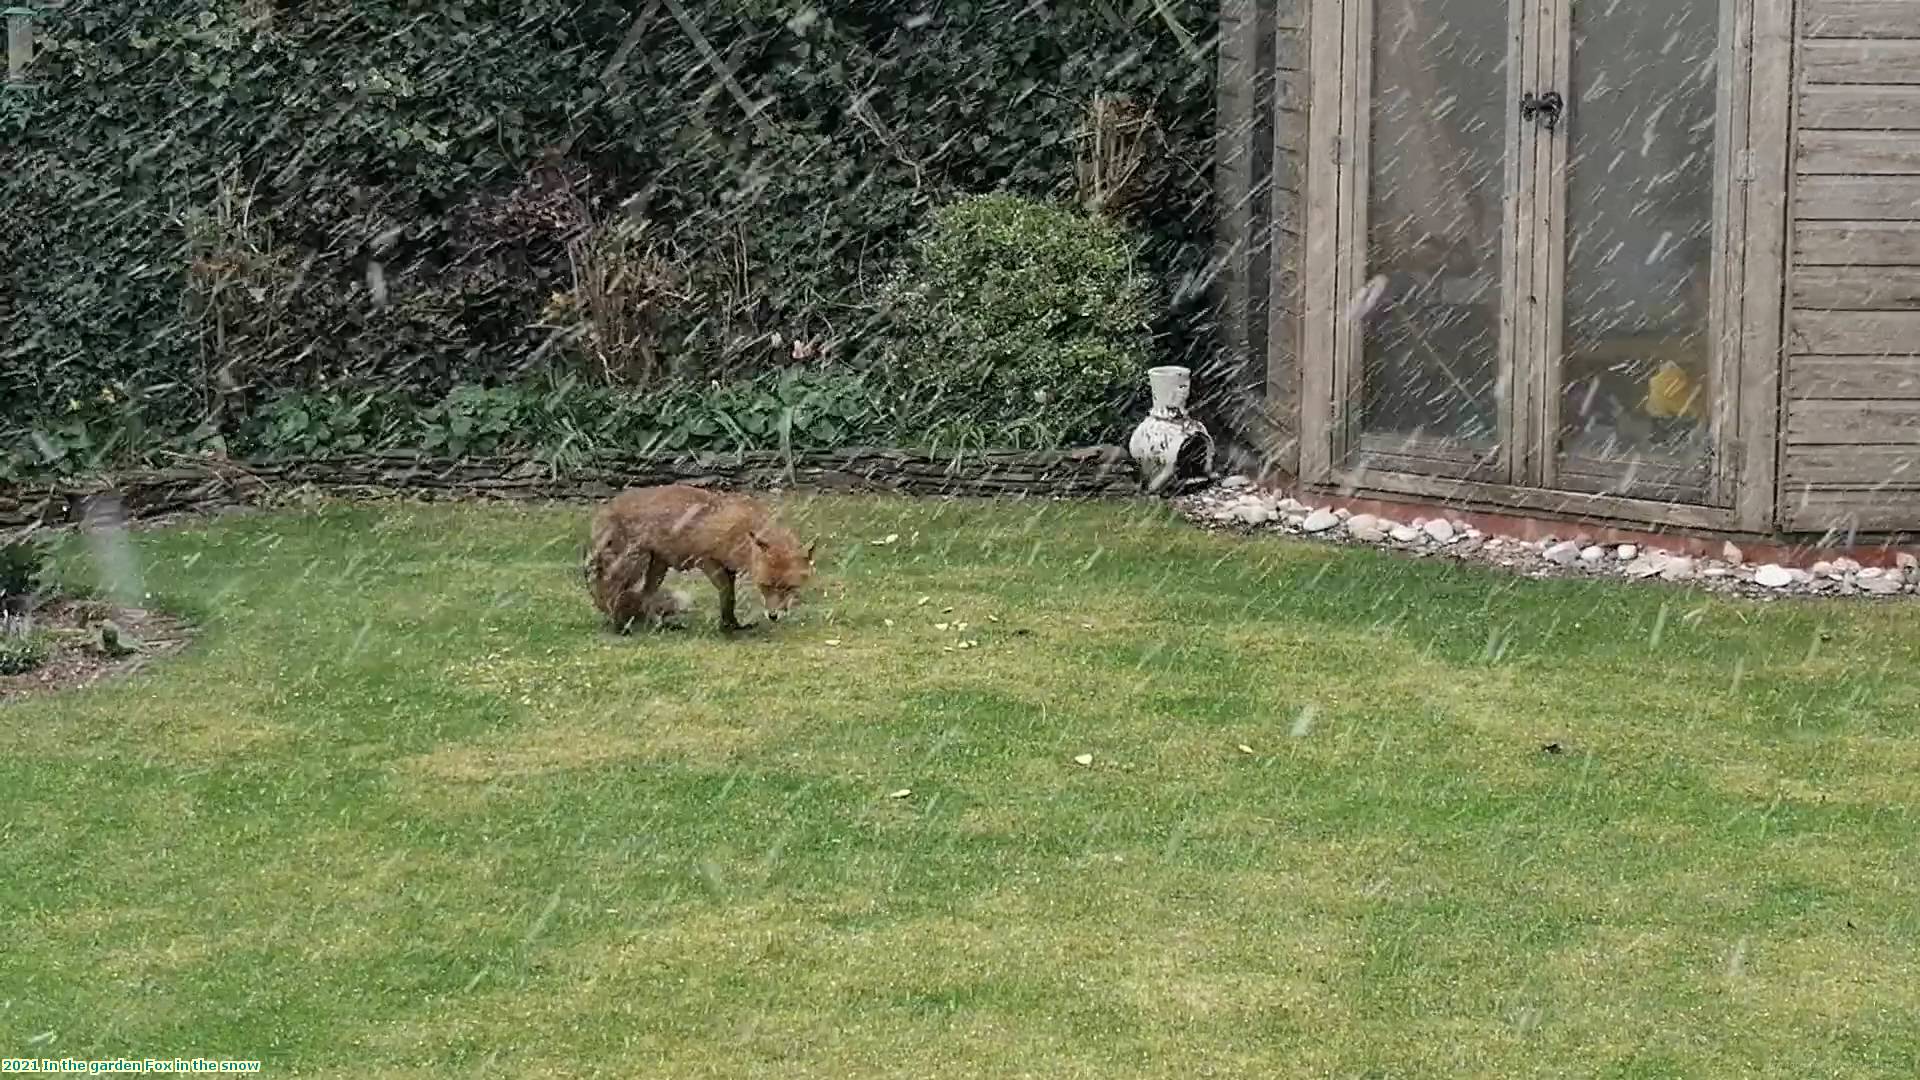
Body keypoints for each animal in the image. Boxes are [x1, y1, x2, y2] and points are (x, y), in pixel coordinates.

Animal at [587, 480, 821, 630]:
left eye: (789, 588)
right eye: (765, 586)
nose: (773, 616)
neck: (740, 532)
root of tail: (605, 508)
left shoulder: (729, 567)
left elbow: (730, 598)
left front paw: (733, 624)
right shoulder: (707, 560)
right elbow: (727, 593)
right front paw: (727, 628)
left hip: (658, 565)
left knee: (645, 597)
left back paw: (658, 624)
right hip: (634, 563)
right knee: (609, 594)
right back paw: (620, 626)